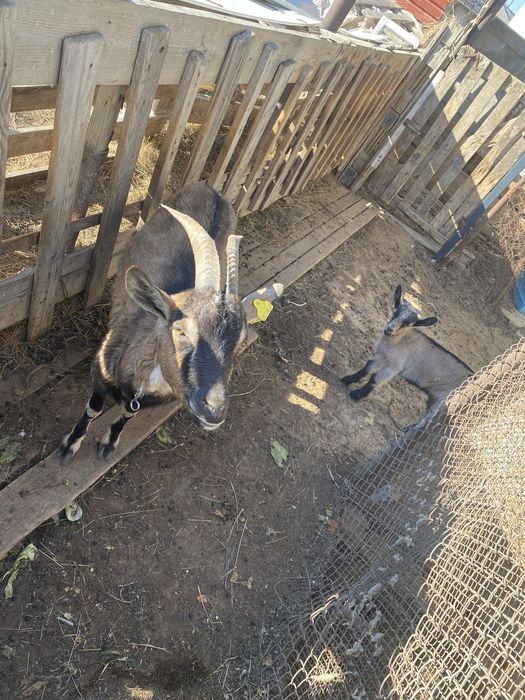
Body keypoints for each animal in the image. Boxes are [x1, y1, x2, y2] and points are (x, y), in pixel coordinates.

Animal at [59, 183, 247, 462]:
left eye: (239, 341)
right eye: (180, 330)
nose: (214, 410)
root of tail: (213, 191)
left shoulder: (140, 401)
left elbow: (128, 415)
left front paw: (109, 443)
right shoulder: (99, 373)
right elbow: (93, 409)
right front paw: (70, 443)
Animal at [341, 285, 472, 410]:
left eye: (407, 324)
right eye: (394, 312)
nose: (389, 329)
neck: (400, 341)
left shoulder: (394, 366)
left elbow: (374, 379)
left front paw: (356, 395)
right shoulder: (382, 357)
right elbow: (367, 368)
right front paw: (347, 379)